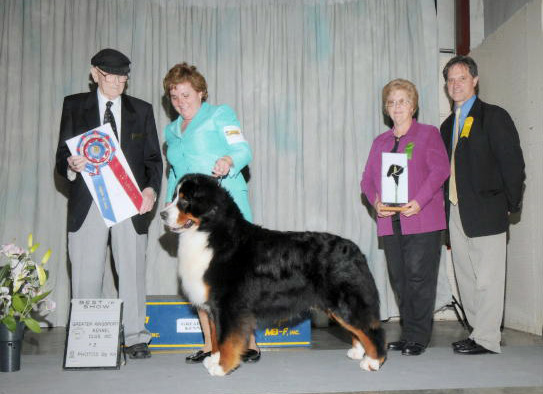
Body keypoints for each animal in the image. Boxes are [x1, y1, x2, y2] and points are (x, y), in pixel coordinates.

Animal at [159, 175, 384, 376]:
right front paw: (213, 359)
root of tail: (355, 250)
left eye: (185, 200)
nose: (162, 214)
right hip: (335, 306)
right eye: (174, 196)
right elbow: (215, 336)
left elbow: (226, 339)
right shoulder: (213, 305)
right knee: (358, 329)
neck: (212, 235)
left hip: (346, 301)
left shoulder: (227, 304)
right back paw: (358, 352)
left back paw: (373, 361)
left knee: (371, 329)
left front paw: (222, 367)